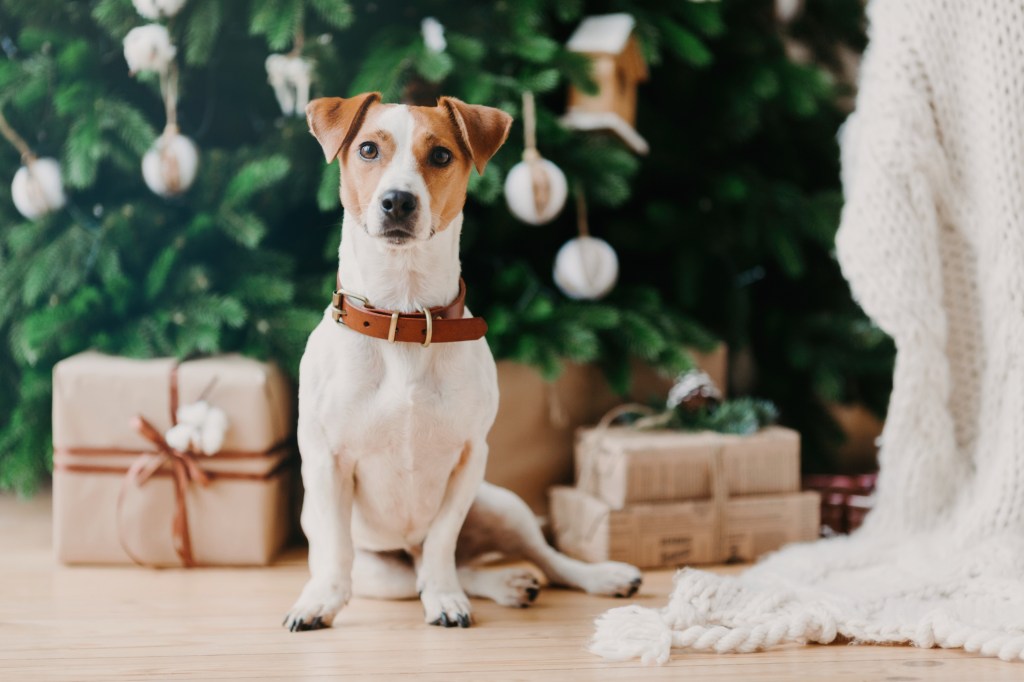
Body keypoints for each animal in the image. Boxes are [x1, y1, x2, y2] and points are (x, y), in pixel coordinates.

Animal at [286, 93, 638, 630]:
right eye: (368, 149)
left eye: (441, 155)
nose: (398, 201)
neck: (404, 316)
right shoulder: (327, 461)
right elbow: (337, 549)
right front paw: (320, 600)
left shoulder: (471, 459)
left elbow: (442, 540)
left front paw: (445, 598)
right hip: (382, 572)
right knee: (425, 573)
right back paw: (505, 584)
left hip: (502, 505)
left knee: (535, 558)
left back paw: (591, 577)